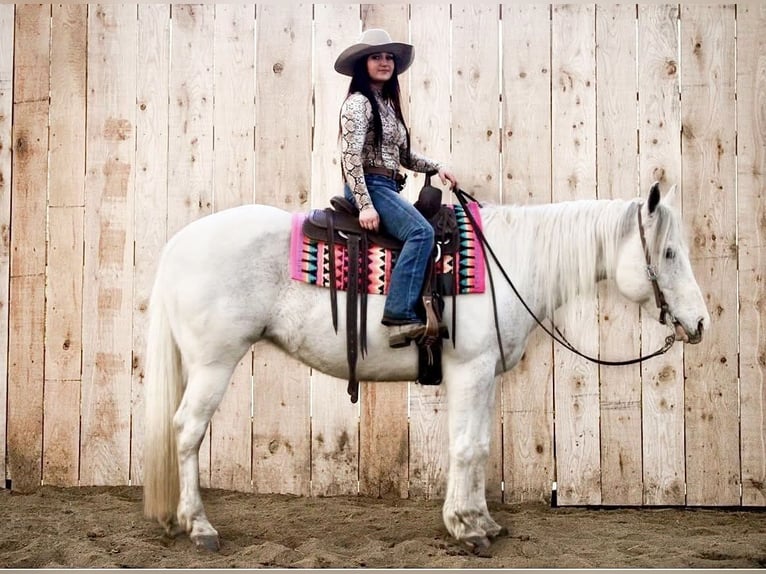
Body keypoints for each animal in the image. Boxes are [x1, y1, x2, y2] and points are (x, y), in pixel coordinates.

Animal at [146, 183, 712, 552]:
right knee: (187, 432)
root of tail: (176, 245)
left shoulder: (484, 374)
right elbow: (465, 447)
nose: (700, 322)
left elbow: (478, 445)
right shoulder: (471, 369)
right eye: (668, 252)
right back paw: (199, 528)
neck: (508, 262)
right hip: (213, 364)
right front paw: (465, 529)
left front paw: (481, 522)